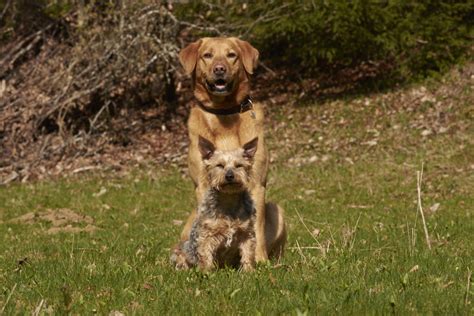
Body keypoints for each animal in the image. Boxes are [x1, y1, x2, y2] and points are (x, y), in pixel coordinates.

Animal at [179, 37, 286, 262]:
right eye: (207, 55)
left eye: (231, 55)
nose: (219, 69)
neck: (224, 114)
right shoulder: (202, 185)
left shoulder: (256, 184)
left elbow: (256, 228)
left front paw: (259, 261)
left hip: (277, 210)